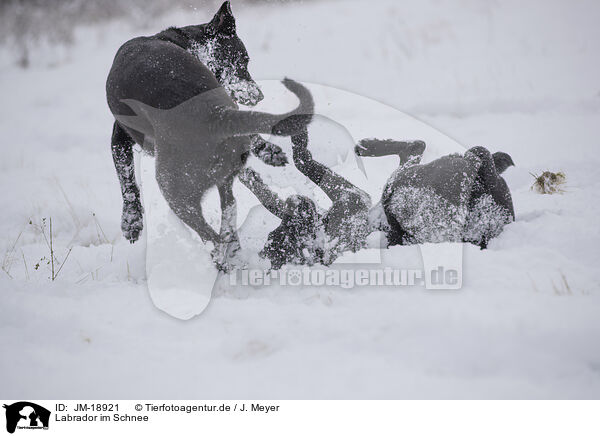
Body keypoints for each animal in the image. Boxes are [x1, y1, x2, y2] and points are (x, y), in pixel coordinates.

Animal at [106, 1, 314, 270]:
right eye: (242, 59)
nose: (258, 95)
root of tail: (211, 115)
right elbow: (252, 178)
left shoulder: (119, 137)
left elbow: (126, 181)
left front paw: (131, 222)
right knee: (229, 207)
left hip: (174, 189)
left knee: (210, 233)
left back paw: (224, 260)